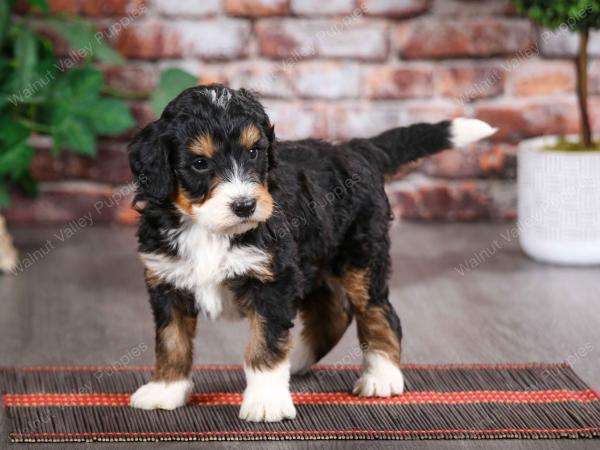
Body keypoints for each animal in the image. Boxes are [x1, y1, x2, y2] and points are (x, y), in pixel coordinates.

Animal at [127, 84, 496, 422]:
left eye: (253, 152)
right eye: (200, 163)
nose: (245, 206)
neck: (208, 229)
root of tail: (356, 148)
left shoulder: (272, 281)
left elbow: (265, 343)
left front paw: (266, 401)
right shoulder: (167, 279)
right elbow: (171, 340)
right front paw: (166, 389)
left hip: (361, 256)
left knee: (378, 312)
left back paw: (381, 376)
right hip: (314, 259)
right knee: (332, 313)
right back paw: (299, 360)